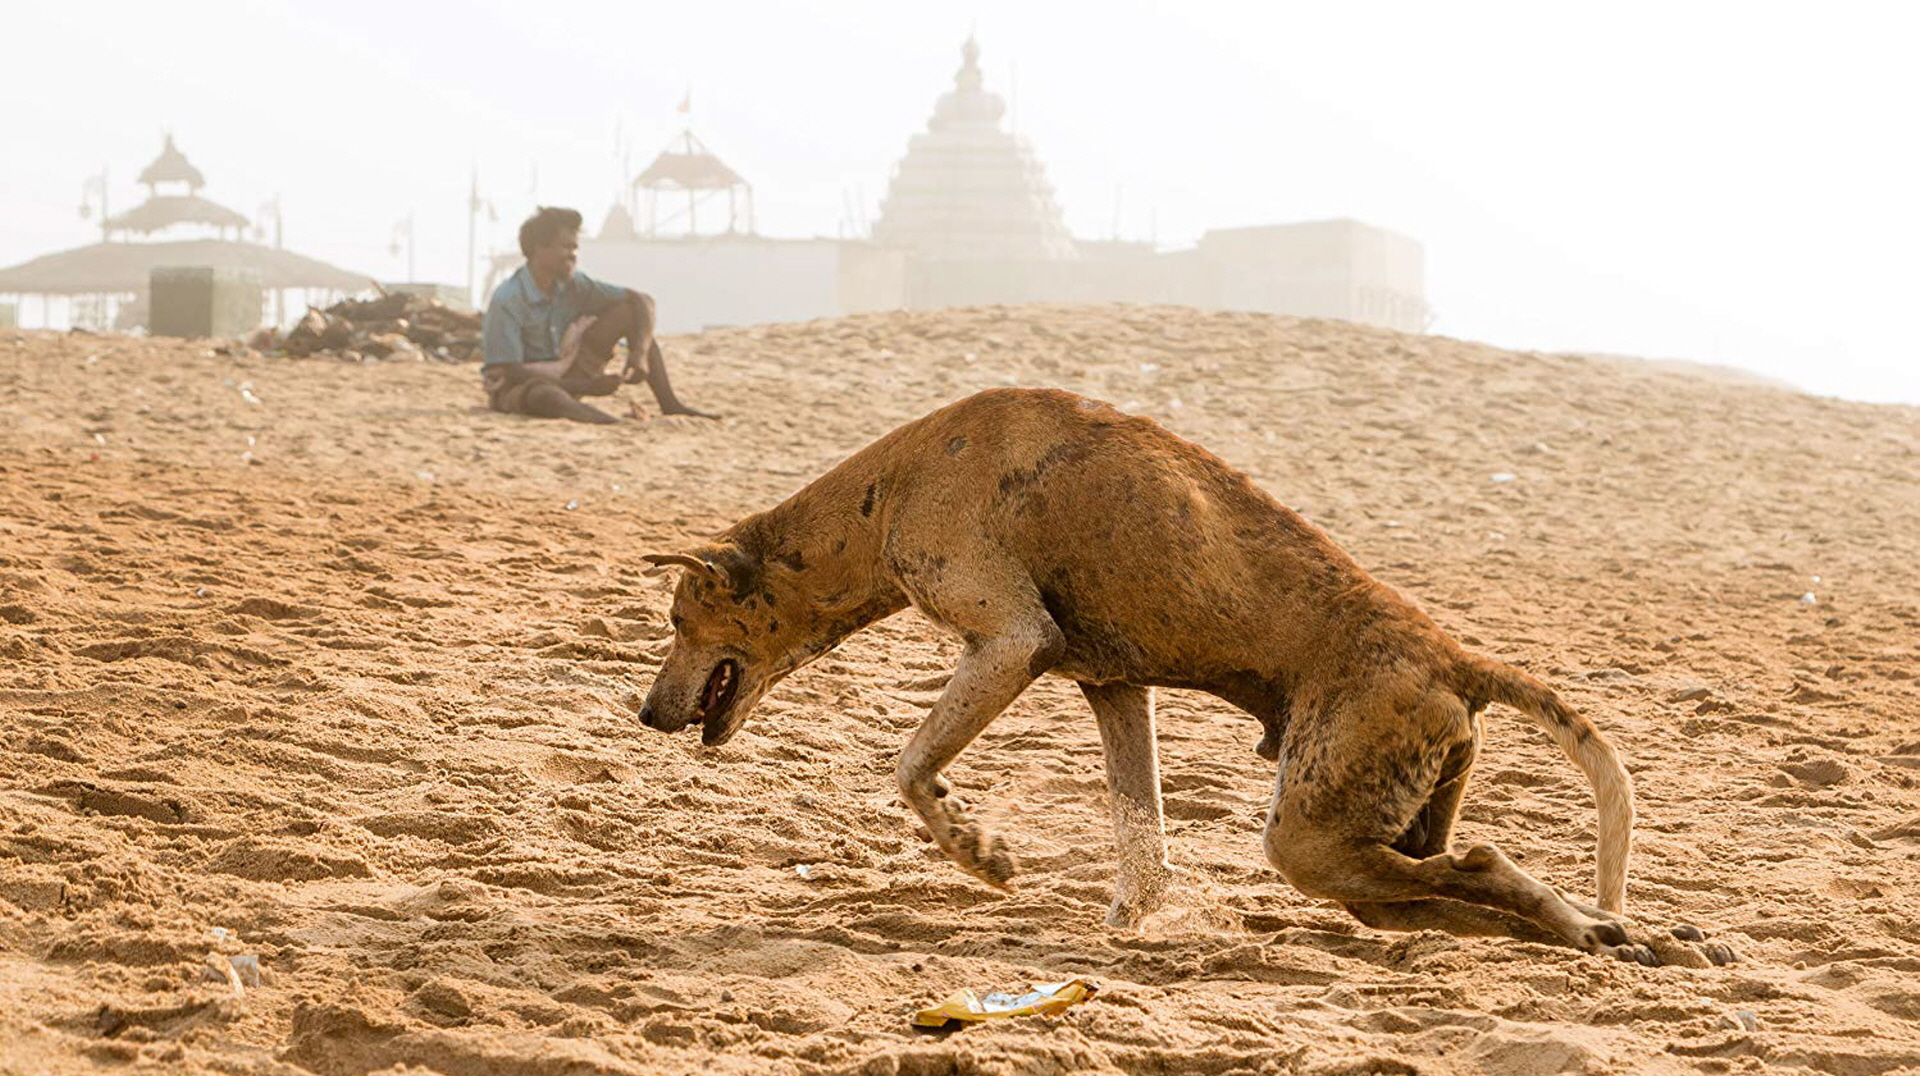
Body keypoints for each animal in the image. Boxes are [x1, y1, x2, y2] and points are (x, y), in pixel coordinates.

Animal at [637, 388, 1735, 968]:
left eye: (680, 620)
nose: (646, 711)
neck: (890, 485)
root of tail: (1455, 657)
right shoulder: (1112, 688)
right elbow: (1143, 837)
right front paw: (1128, 923)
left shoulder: (1012, 642)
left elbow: (911, 769)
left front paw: (982, 852)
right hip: (1381, 831)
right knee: (1457, 889)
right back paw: (1635, 935)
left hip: (1315, 831)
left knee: (1488, 867)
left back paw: (1605, 931)